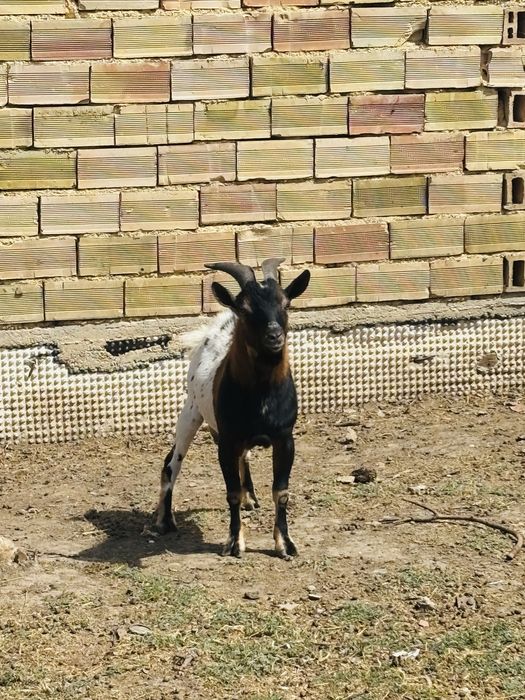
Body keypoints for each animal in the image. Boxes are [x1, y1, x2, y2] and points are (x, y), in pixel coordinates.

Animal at [155, 258, 310, 559]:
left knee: (244, 458)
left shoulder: (284, 438)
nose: (274, 335)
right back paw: (164, 521)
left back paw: (251, 497)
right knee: (171, 463)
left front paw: (285, 544)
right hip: (191, 410)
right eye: (245, 308)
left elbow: (281, 492)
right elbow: (231, 493)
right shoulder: (227, 440)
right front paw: (234, 543)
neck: (262, 396)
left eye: (286, 303)